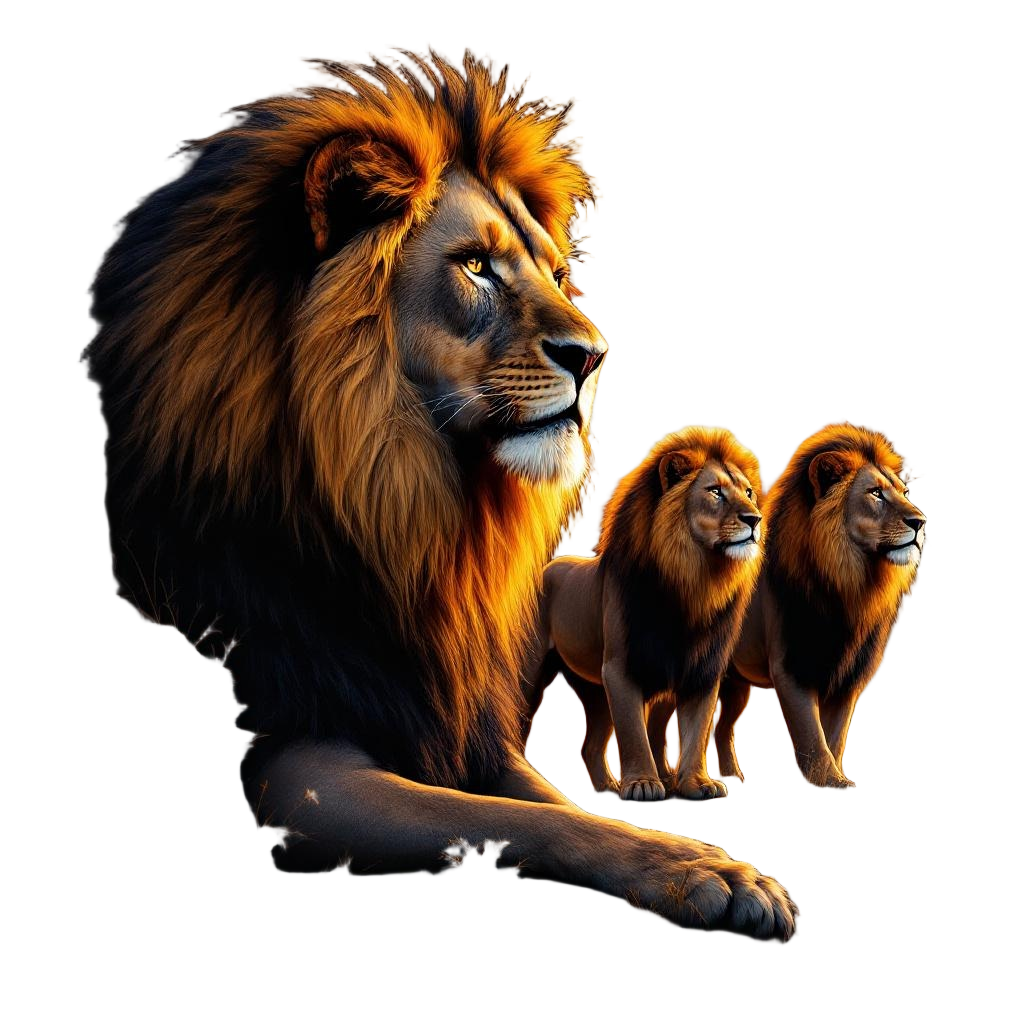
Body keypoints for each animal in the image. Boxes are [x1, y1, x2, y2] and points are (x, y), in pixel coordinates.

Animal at [524, 425, 765, 804]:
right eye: (715, 491)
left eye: (749, 492)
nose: (755, 519)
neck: (695, 583)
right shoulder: (620, 668)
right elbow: (635, 733)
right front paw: (642, 784)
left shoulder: (701, 673)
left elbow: (696, 732)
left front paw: (697, 783)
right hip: (534, 671)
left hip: (594, 688)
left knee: (588, 746)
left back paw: (607, 787)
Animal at [711, 418, 929, 792]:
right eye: (875, 493)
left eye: (904, 493)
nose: (920, 522)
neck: (853, 586)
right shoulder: (791, 668)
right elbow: (812, 733)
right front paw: (826, 779)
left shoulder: (848, 676)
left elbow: (836, 735)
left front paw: (837, 778)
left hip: (736, 685)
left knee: (721, 729)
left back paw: (731, 777)